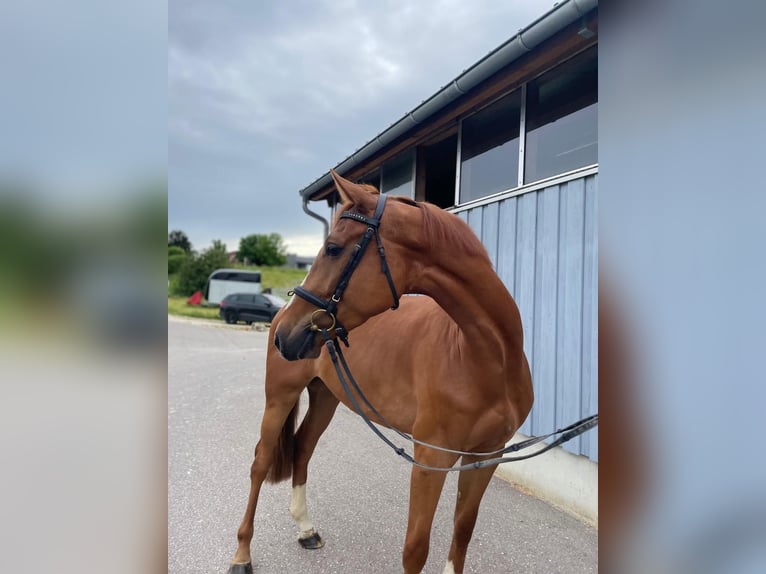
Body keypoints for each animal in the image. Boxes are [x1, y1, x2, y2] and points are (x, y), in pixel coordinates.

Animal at [230, 172, 536, 574]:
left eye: (332, 248)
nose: (286, 336)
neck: (486, 359)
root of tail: (279, 312)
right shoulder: (431, 459)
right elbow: (415, 548)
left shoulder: (486, 456)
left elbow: (462, 531)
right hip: (280, 397)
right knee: (260, 463)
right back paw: (241, 555)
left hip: (326, 398)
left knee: (303, 449)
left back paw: (306, 530)